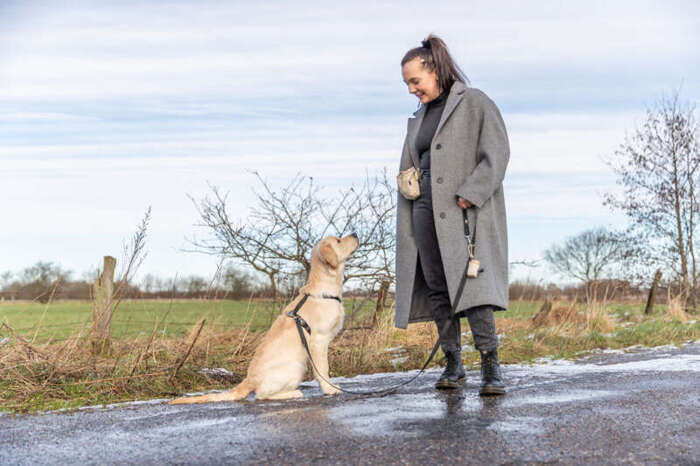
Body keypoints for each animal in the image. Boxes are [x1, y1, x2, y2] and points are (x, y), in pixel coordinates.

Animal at [167, 235, 358, 402]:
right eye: (338, 240)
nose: (355, 234)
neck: (325, 288)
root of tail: (249, 379)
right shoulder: (319, 341)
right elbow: (323, 370)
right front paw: (330, 389)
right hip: (295, 367)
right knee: (262, 395)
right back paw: (294, 393)